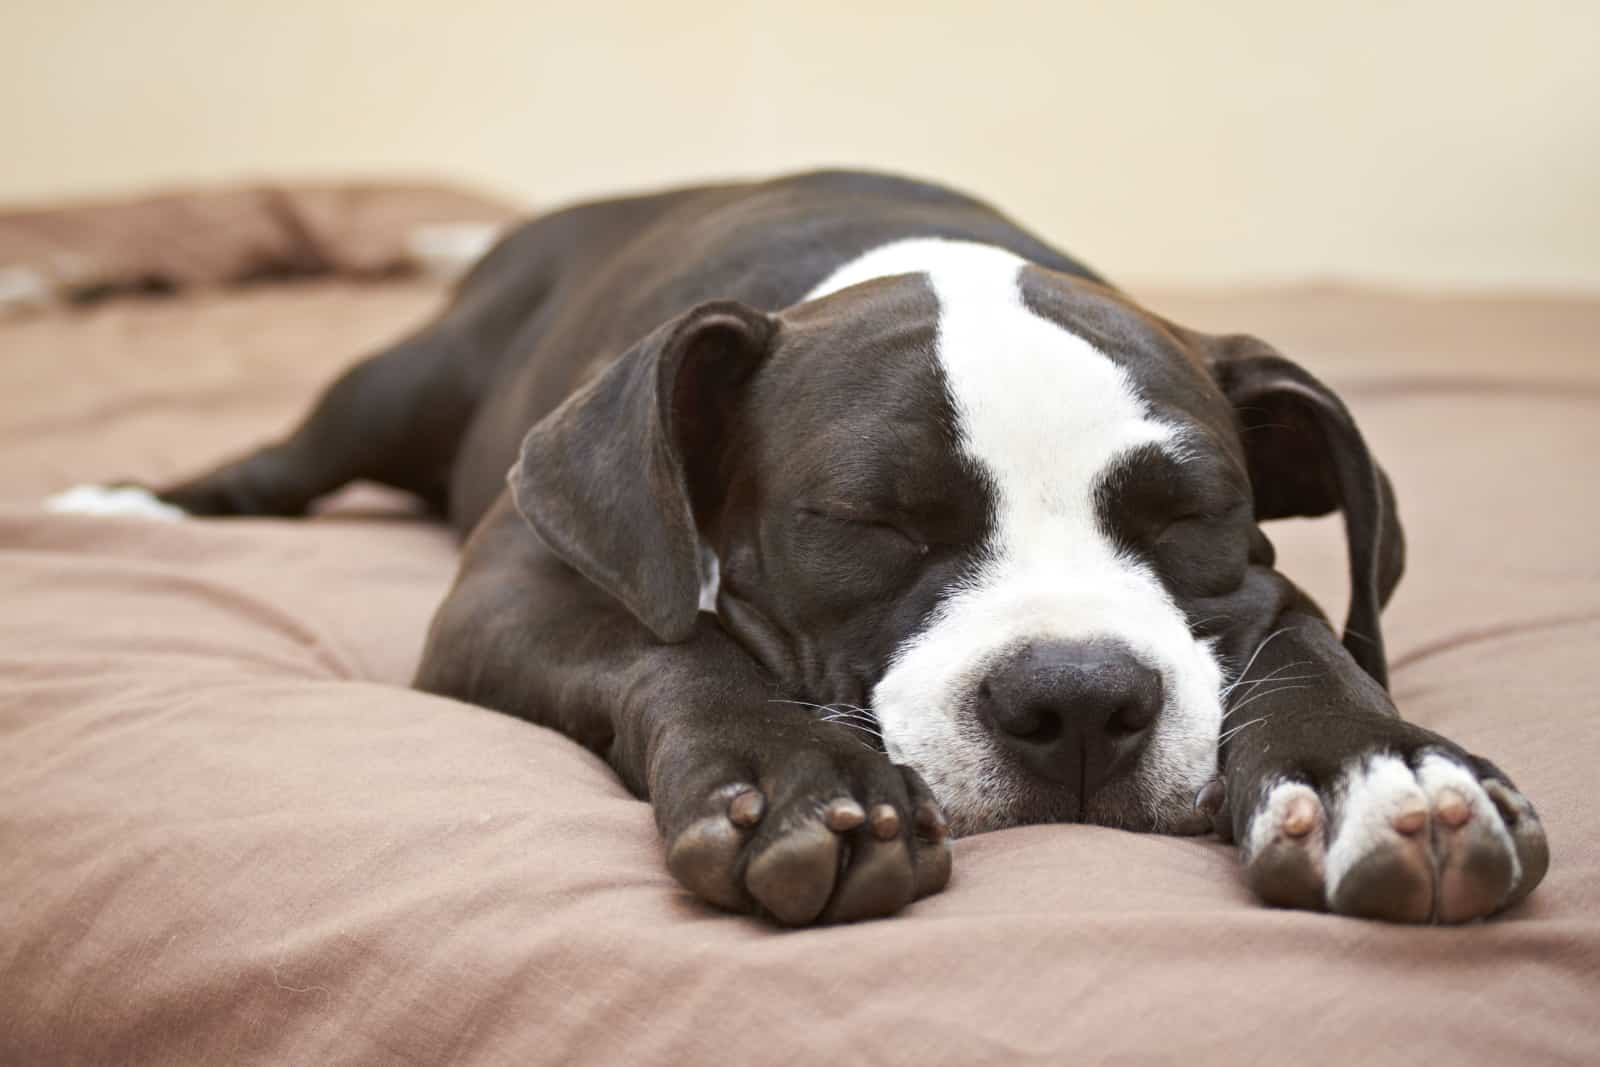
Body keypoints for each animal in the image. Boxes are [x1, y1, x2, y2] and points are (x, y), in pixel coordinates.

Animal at [62, 168, 1548, 927]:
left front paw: (1378, 768)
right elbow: (680, 651)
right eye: (875, 523)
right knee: (294, 454)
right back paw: (136, 507)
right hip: (410, 380)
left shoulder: (1258, 589)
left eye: (1187, 520)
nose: (1076, 699)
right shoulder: (515, 585)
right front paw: (799, 778)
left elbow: (1304, 637)